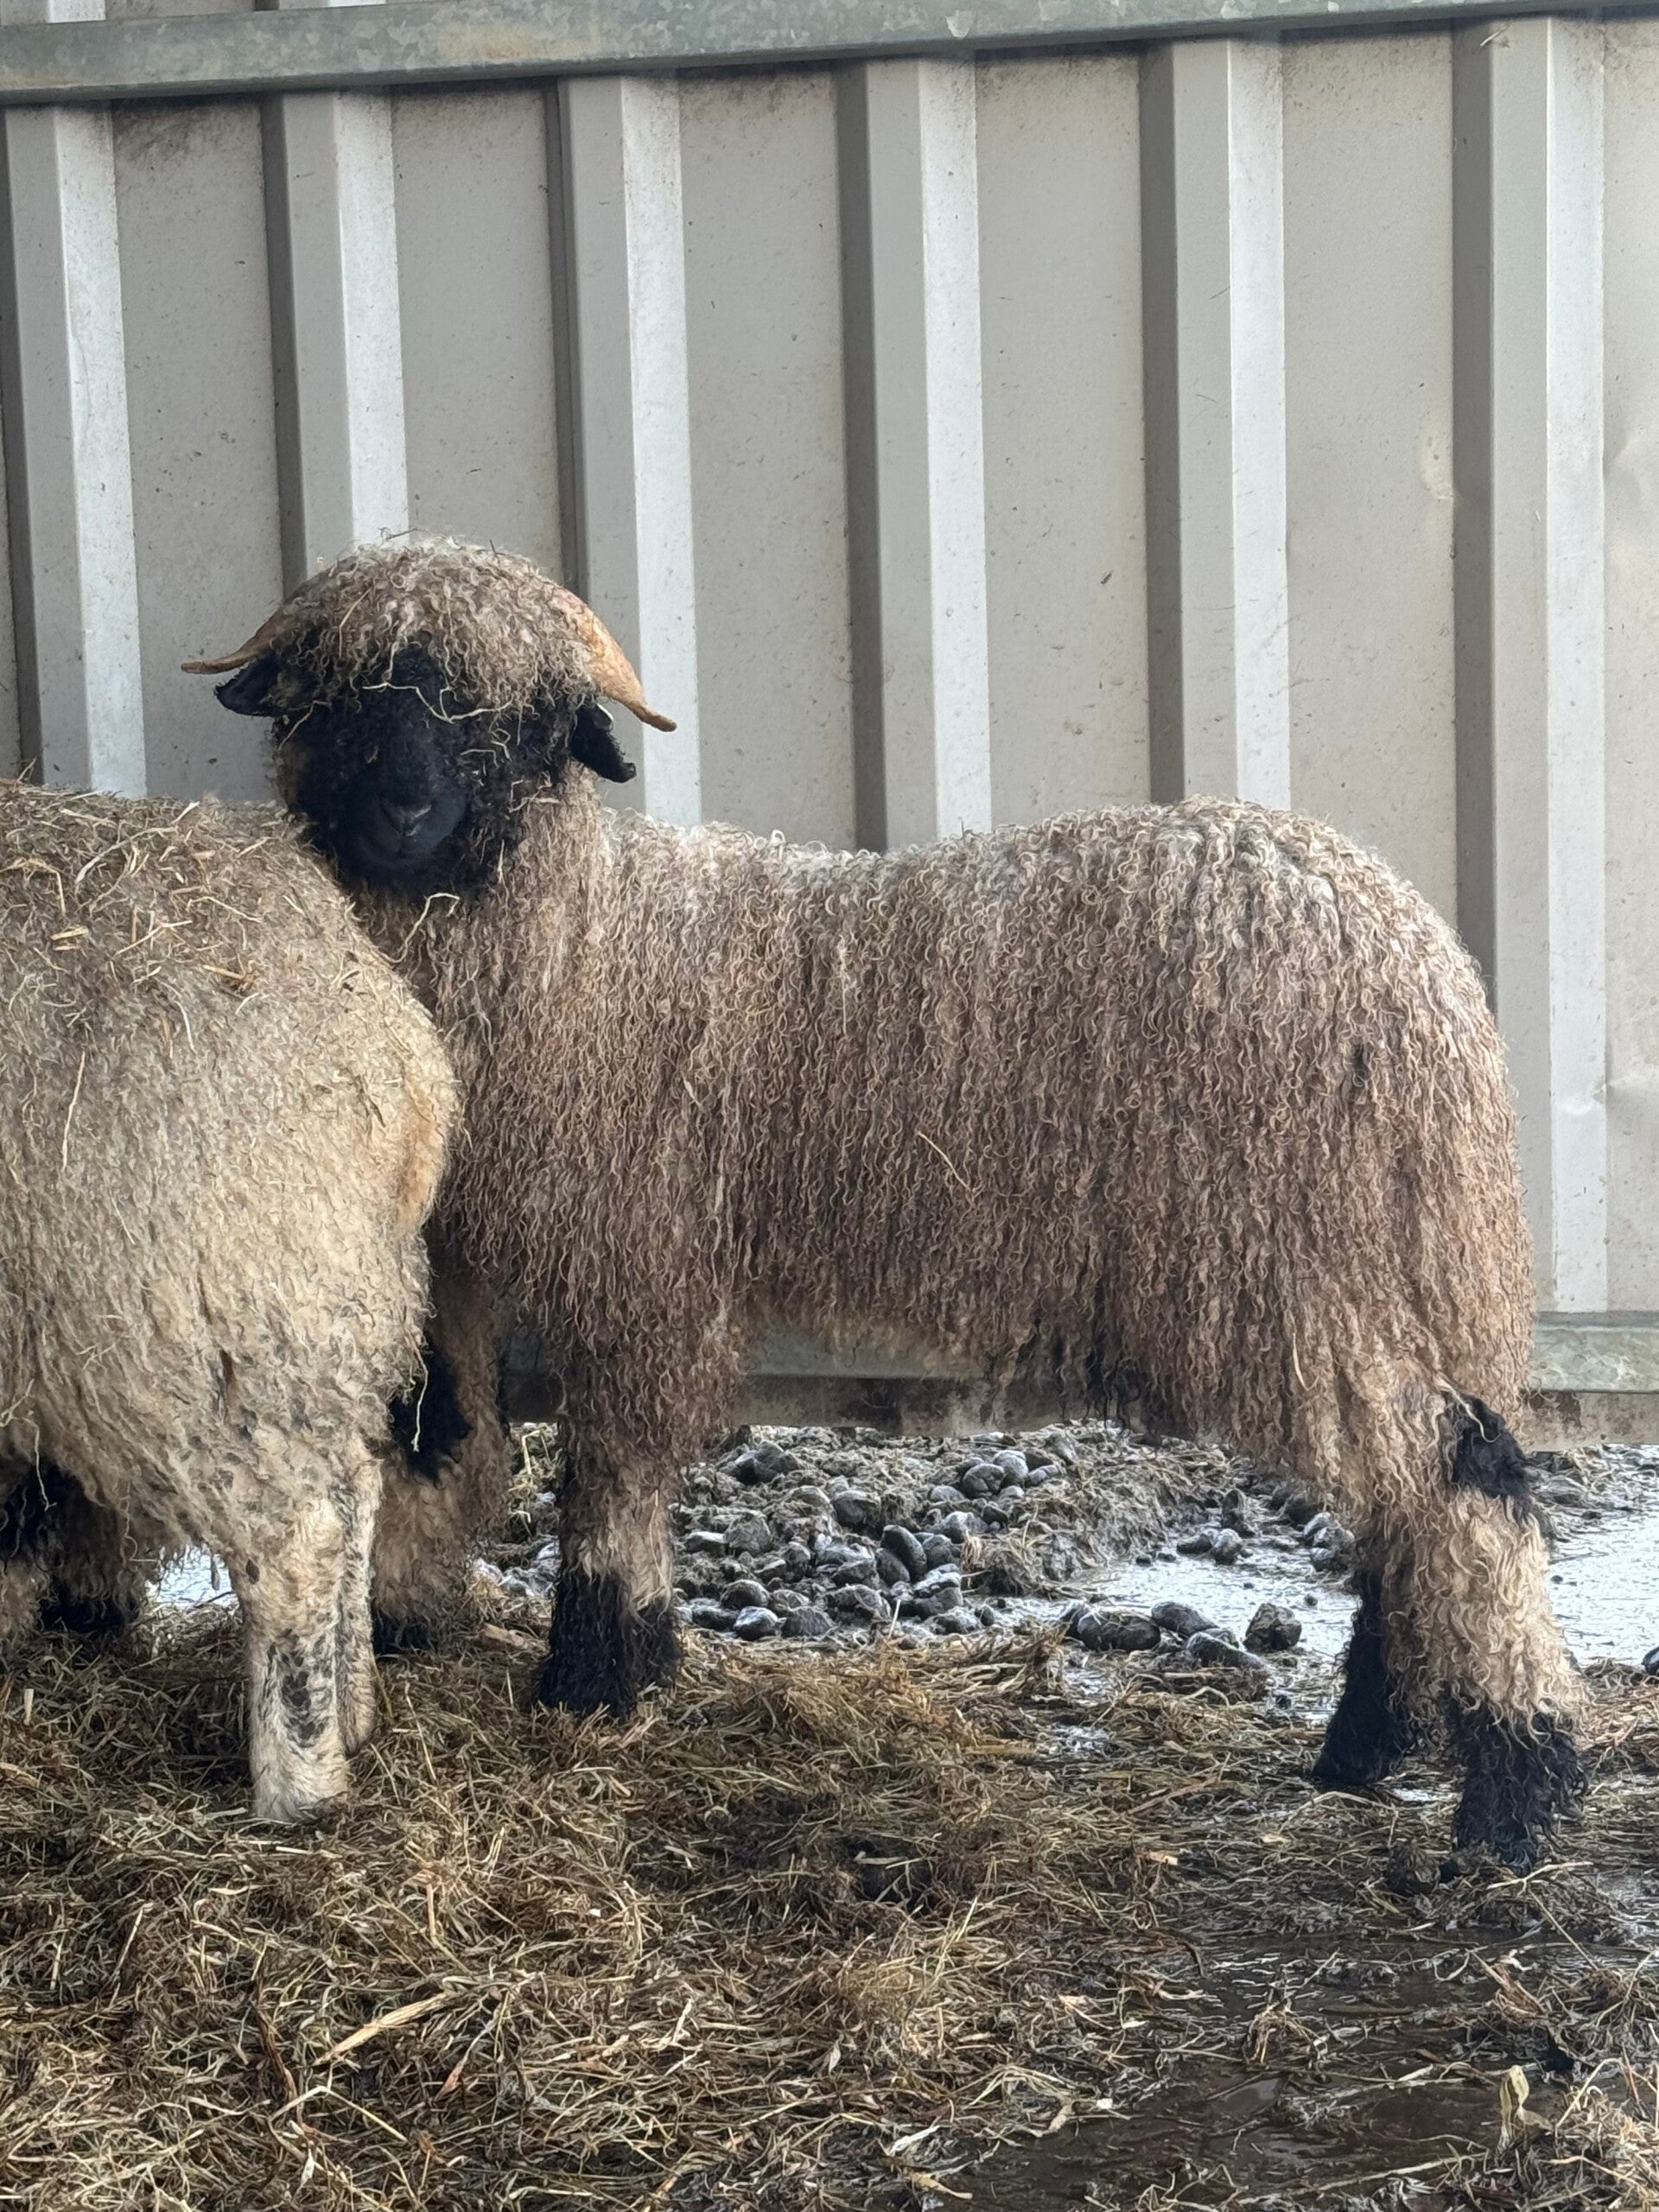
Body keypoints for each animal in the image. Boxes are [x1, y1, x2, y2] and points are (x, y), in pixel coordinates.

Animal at [0, 778, 454, 1822]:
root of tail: (396, 1054)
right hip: (320, 1308)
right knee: (356, 1490)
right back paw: (355, 1710)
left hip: (191, 1312)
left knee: (295, 1540)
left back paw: (301, 1786)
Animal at [193, 537, 1582, 1868]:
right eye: (339, 694)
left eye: (519, 719)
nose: (402, 809)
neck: (583, 951)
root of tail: (1426, 972)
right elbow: (464, 1437)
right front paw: (611, 1654)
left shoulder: (641, 1260)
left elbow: (612, 1477)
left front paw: (595, 1676)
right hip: (1378, 1271)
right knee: (1412, 1508)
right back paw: (1369, 1749)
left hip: (1298, 1268)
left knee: (1463, 1485)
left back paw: (1517, 1799)